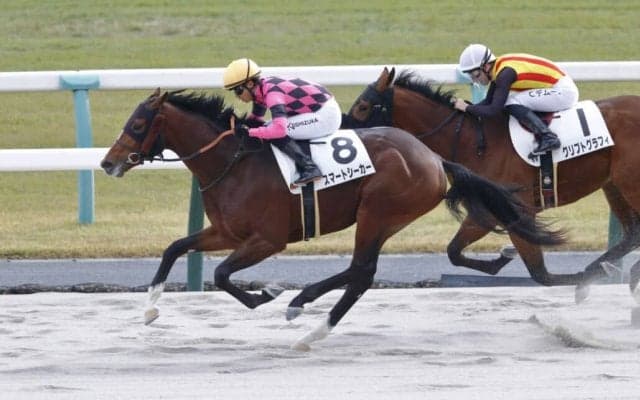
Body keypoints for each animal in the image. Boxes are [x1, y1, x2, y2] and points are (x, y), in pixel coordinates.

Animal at [101, 88, 564, 350]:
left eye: (138, 124)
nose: (107, 162)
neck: (233, 162)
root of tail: (434, 159)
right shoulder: (225, 231)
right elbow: (175, 248)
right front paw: (149, 311)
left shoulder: (267, 240)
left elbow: (220, 275)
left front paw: (264, 293)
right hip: (382, 217)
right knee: (358, 271)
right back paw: (303, 304)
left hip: (378, 211)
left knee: (361, 273)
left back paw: (310, 329)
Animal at [345, 66, 640, 303]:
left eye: (363, 106)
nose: (347, 133)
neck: (472, 141)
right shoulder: (486, 211)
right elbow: (453, 252)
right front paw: (502, 258)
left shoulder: (518, 212)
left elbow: (541, 274)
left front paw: (582, 282)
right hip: (614, 185)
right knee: (632, 234)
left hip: (629, 182)